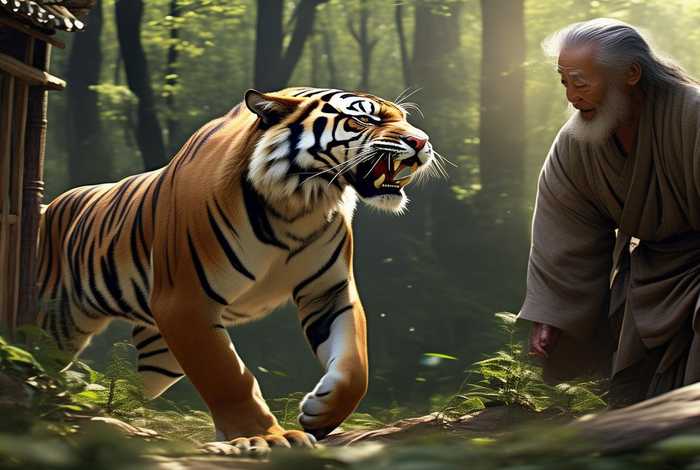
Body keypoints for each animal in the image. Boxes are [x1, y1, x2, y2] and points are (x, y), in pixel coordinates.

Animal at [37, 87, 436, 451]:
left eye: (404, 118)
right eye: (365, 118)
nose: (422, 141)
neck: (300, 203)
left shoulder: (329, 291)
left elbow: (355, 364)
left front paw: (321, 413)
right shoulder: (184, 303)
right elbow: (227, 375)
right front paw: (263, 437)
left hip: (160, 355)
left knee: (126, 386)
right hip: (57, 324)